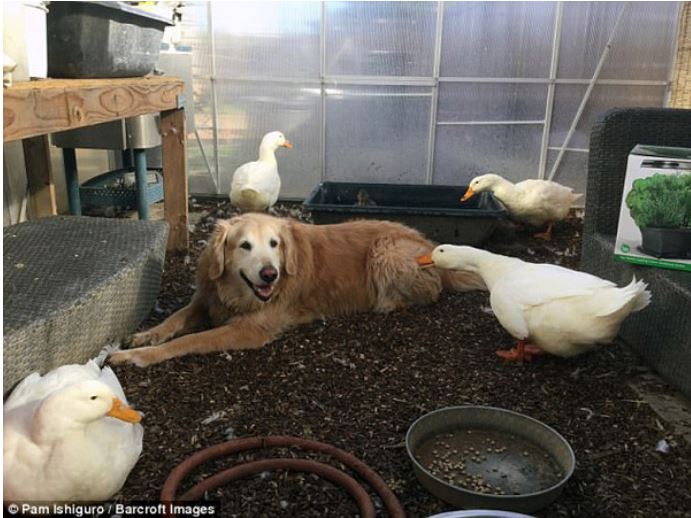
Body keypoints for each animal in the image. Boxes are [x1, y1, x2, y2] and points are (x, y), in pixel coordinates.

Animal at [109, 213, 486, 368]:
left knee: (428, 294)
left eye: (274, 244)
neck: (235, 292)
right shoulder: (206, 298)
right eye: (244, 245)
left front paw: (138, 356)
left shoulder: (249, 329)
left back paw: (388, 303)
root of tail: (431, 245)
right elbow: (175, 319)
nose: (270, 275)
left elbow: (188, 341)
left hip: (385, 250)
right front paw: (144, 335)